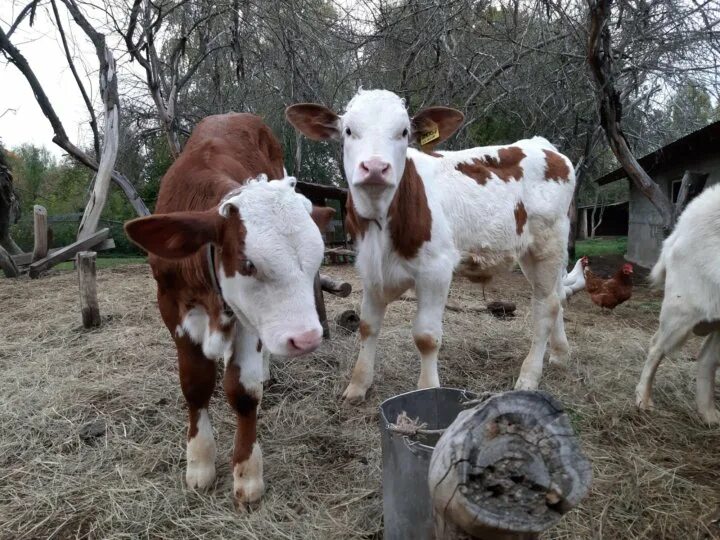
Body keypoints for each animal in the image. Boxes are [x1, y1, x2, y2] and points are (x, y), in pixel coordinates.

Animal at [124, 114, 334, 506]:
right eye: (248, 263)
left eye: (318, 258)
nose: (307, 338)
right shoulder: (171, 306)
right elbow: (195, 384)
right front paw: (199, 463)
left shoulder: (248, 319)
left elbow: (243, 391)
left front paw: (247, 474)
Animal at [286, 89, 572, 400]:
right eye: (348, 131)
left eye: (403, 132)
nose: (375, 167)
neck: (381, 222)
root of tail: (540, 144)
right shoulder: (369, 268)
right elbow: (367, 326)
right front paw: (357, 385)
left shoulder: (436, 270)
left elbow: (426, 337)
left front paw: (428, 390)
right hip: (532, 253)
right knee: (556, 297)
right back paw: (559, 355)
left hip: (548, 244)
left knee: (545, 306)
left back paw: (529, 376)